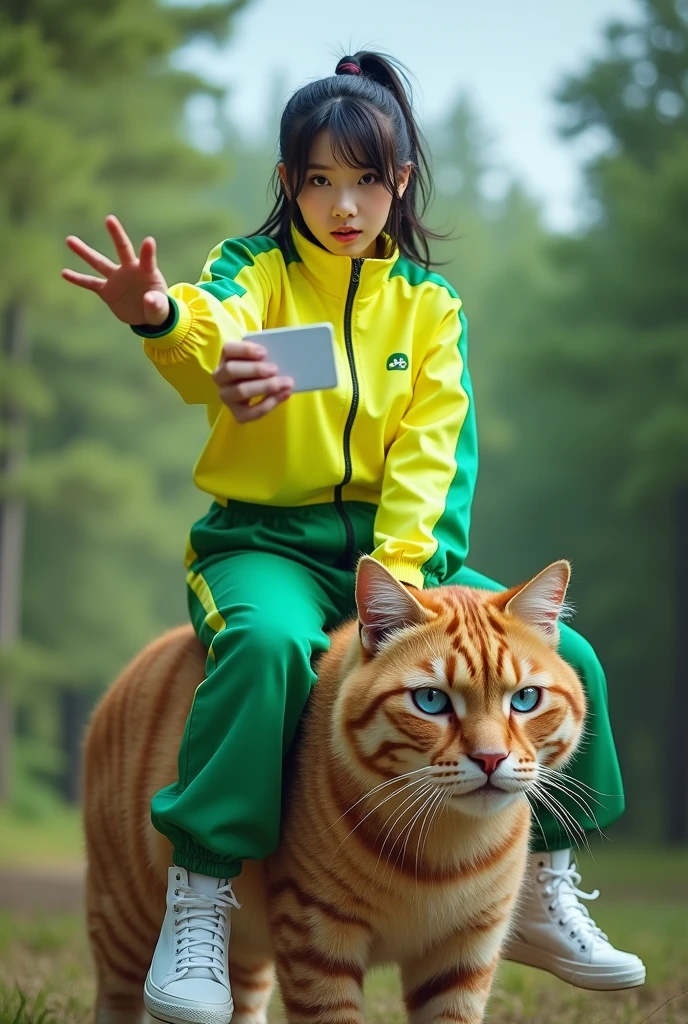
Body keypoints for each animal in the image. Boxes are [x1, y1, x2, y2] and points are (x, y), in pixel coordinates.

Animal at [83, 557, 581, 1019]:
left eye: (525, 699)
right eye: (431, 700)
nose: (491, 758)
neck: (446, 847)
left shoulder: (465, 951)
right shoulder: (314, 934)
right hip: (124, 917)